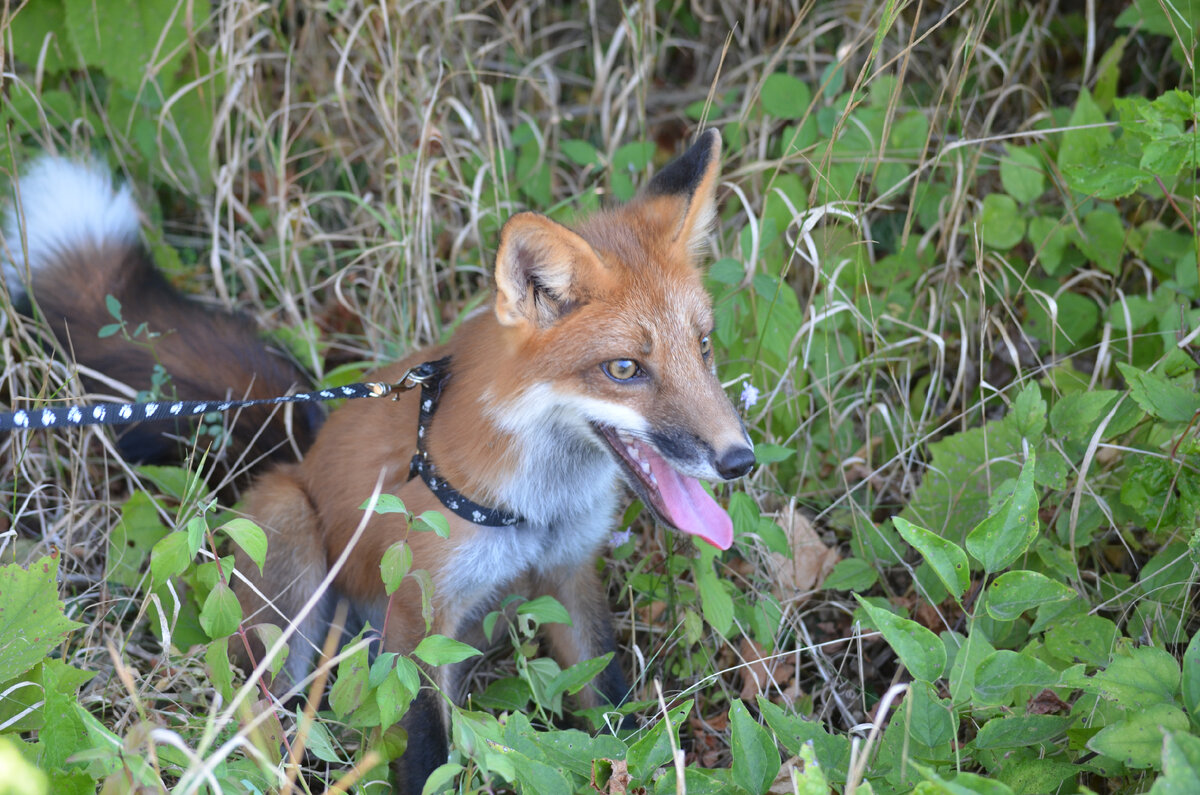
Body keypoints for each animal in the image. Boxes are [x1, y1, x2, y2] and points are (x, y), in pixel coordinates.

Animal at [7, 130, 748, 792]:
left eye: (704, 347)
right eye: (625, 369)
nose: (739, 459)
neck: (534, 509)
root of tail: (302, 443)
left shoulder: (568, 576)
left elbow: (613, 713)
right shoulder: (417, 616)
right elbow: (424, 751)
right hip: (290, 571)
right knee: (266, 723)